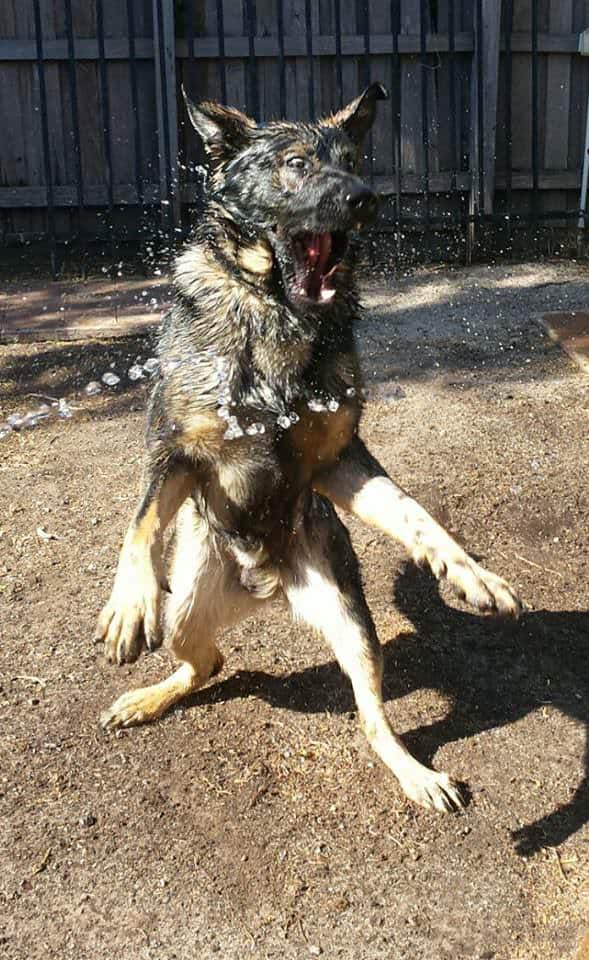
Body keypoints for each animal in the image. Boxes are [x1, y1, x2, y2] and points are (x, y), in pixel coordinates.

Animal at [94, 86, 520, 812]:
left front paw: (469, 572)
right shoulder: (175, 449)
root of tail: (265, 581)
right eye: (295, 163)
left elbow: (414, 514)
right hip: (186, 609)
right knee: (206, 660)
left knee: (371, 720)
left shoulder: (340, 459)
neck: (277, 316)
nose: (365, 198)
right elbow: (142, 523)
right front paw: (128, 601)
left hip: (351, 623)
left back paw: (418, 774)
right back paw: (146, 698)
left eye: (353, 160)